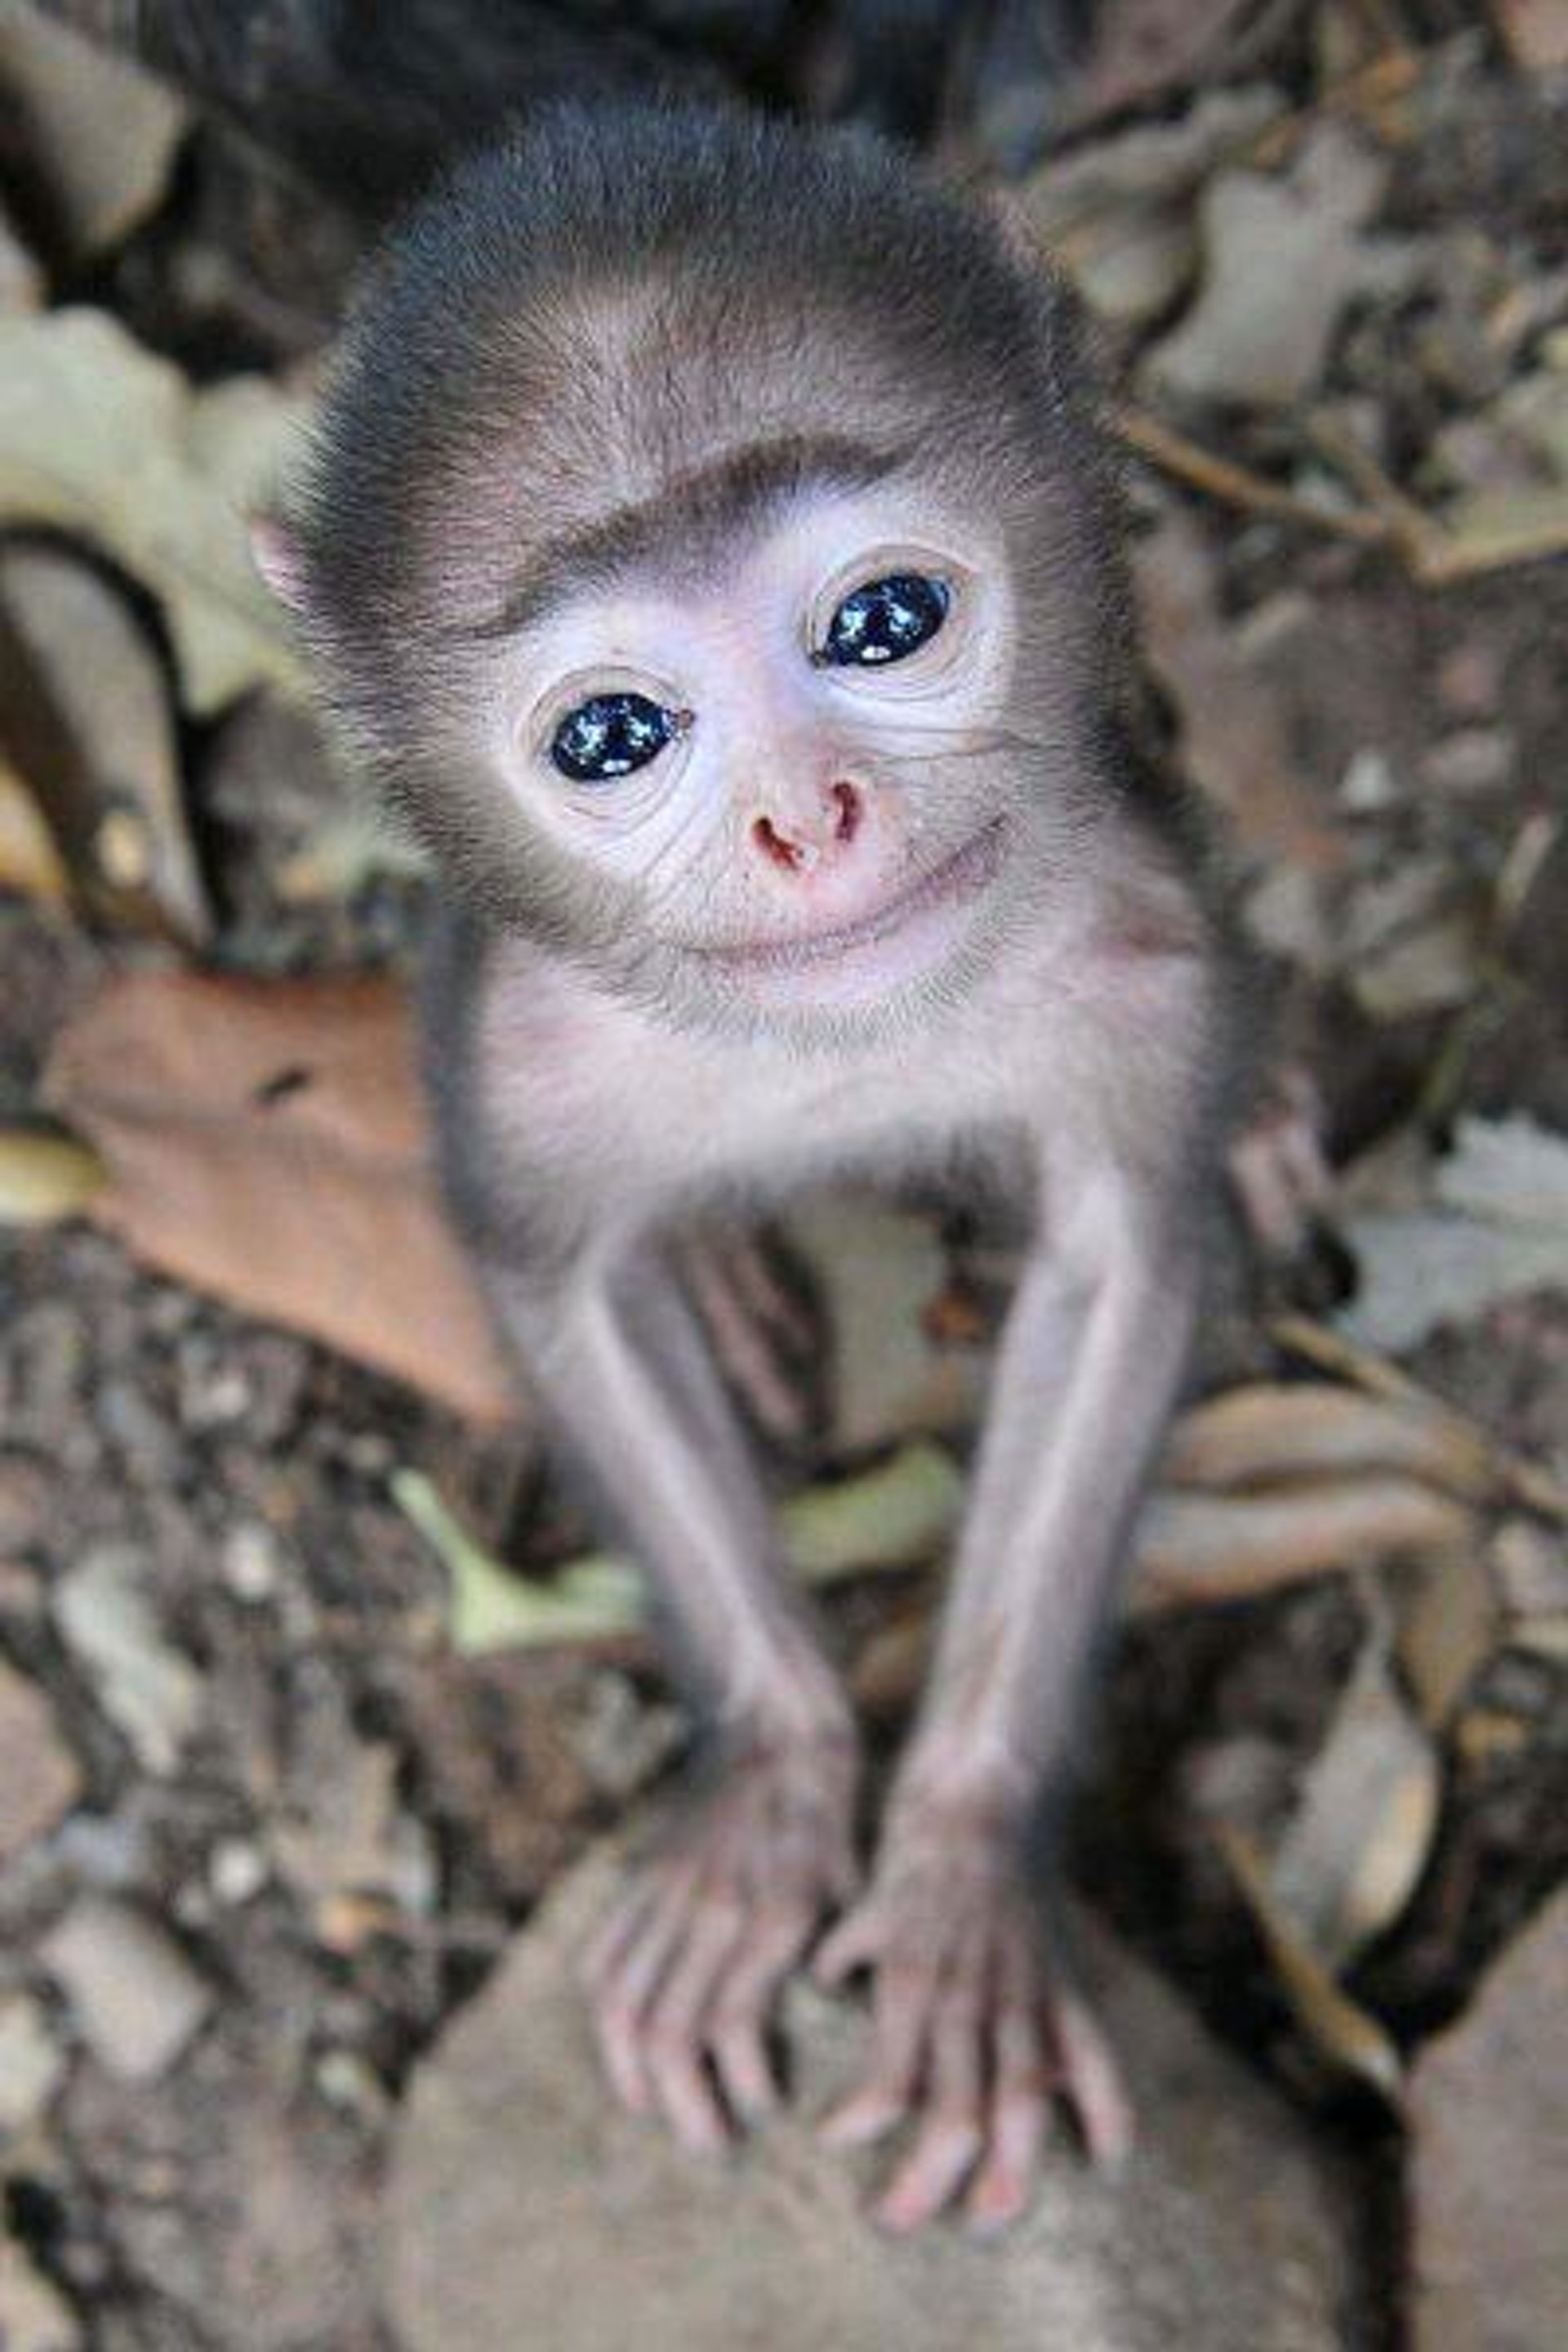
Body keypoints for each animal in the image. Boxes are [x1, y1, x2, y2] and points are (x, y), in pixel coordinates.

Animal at [263, 100, 1232, 2230]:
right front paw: (769, 1800)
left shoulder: (1145, 954)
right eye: (615, 732)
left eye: (881, 622)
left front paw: (958, 1870)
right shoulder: (518, 1051)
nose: (806, 816)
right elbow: (562, 1289)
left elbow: (1124, 1266)